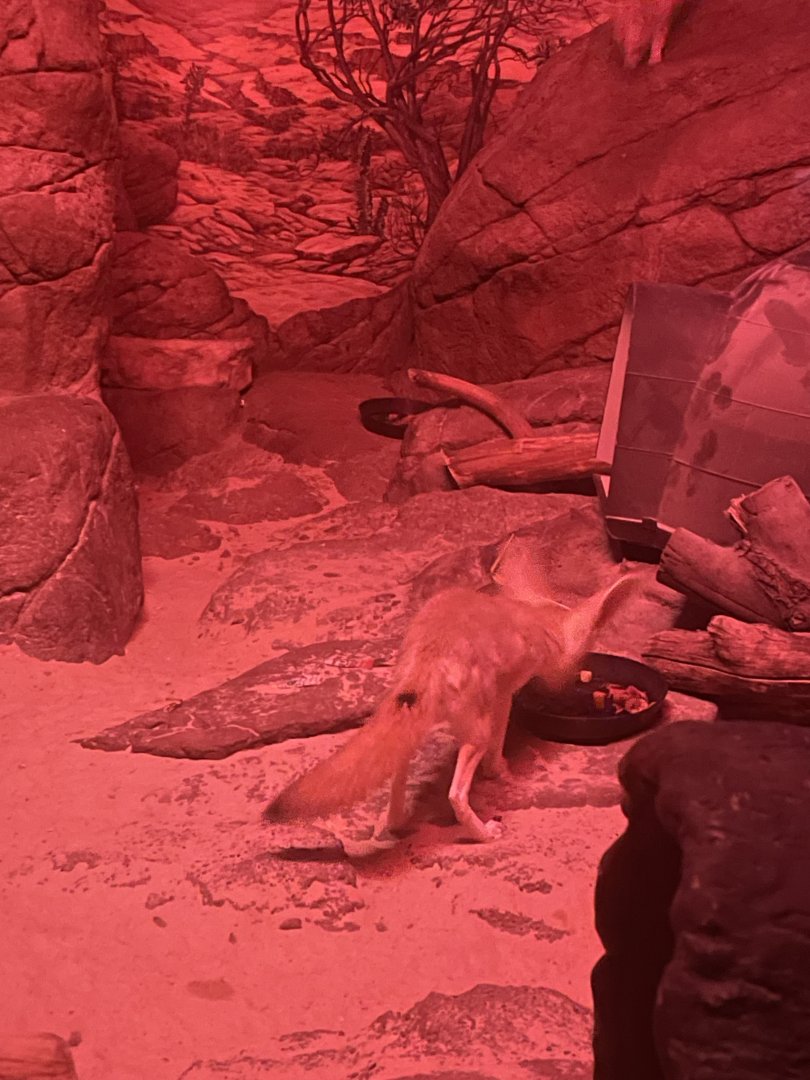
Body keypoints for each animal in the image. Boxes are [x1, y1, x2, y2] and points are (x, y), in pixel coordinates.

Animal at [264, 549, 639, 843]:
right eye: (583, 656)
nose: (569, 684)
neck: (535, 616)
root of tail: (427, 659)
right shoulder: (503, 696)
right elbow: (499, 742)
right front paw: (499, 770)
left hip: (415, 725)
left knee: (399, 774)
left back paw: (395, 821)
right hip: (475, 731)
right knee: (456, 795)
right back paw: (483, 832)